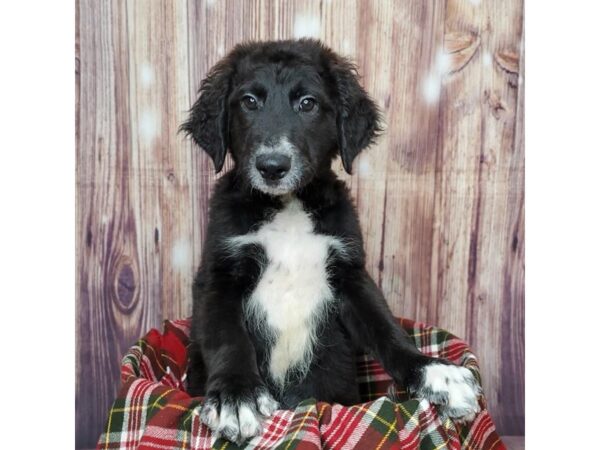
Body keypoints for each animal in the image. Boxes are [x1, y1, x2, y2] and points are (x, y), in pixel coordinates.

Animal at [180, 37, 480, 442]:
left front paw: (433, 372)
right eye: (249, 101)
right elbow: (228, 336)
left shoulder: (349, 273)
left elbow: (387, 329)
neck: (288, 206)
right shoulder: (218, 275)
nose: (272, 167)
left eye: (307, 103)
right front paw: (236, 395)